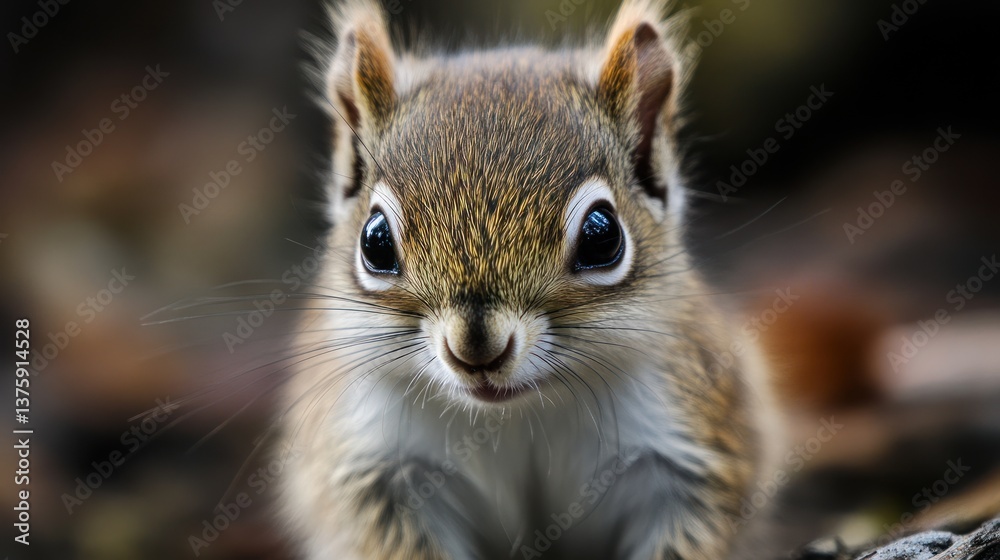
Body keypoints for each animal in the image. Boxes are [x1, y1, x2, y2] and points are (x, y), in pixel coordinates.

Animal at [280, 1, 776, 558]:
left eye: (603, 235)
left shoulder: (689, 447)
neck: (517, 413)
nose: (476, 350)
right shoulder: (379, 467)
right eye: (375, 241)